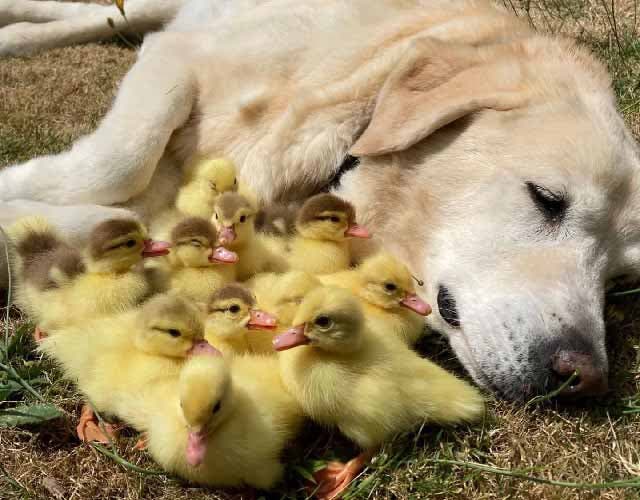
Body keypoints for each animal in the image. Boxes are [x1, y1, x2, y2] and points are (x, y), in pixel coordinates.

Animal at [1, 0, 640, 398]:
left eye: (618, 281)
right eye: (547, 198)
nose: (585, 377)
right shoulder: (174, 59)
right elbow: (116, 161)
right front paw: (21, 190)